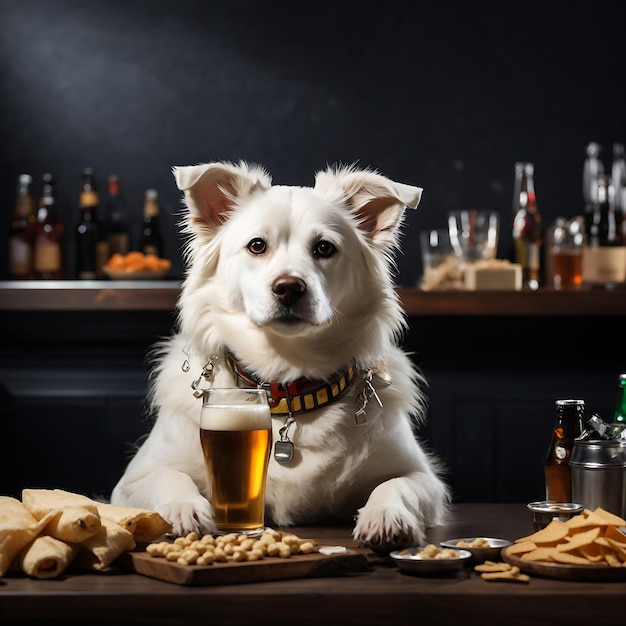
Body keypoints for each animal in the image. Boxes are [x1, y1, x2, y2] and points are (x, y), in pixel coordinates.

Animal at [109, 160, 446, 544]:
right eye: (257, 246)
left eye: (325, 248)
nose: (289, 288)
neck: (288, 386)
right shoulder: (131, 481)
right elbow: (170, 477)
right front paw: (184, 508)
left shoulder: (425, 478)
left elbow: (395, 485)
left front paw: (386, 515)